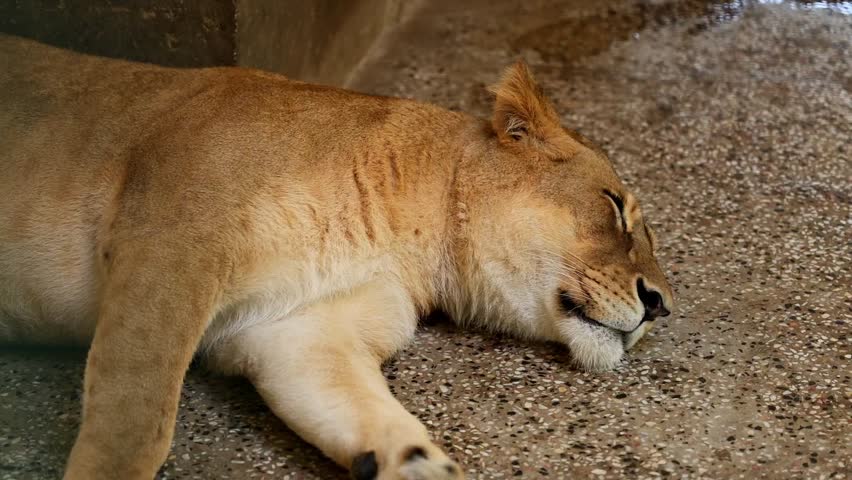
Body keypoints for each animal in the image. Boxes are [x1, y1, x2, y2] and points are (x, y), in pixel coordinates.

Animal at [0, 34, 673, 479]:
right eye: (615, 207)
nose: (661, 306)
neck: (401, 233)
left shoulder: (299, 331)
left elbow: (380, 423)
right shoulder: (170, 240)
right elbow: (135, 424)